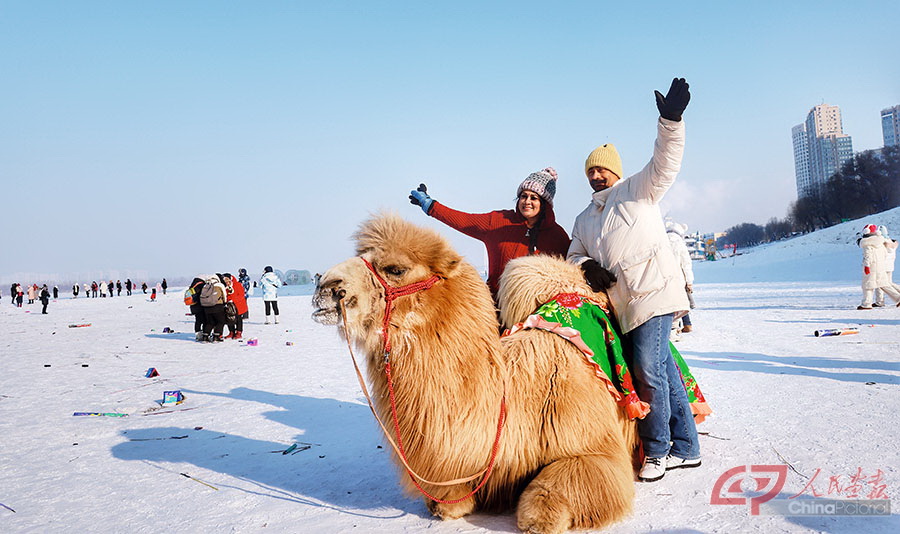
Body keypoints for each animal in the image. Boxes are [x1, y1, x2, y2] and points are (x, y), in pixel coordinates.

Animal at [312, 215, 636, 534]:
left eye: (396, 269)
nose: (324, 286)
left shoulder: (592, 441)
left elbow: (550, 497)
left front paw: (539, 518)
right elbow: (449, 500)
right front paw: (448, 504)